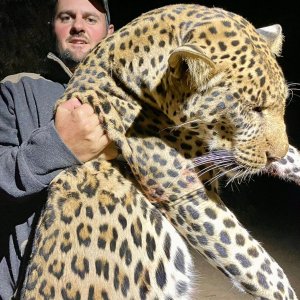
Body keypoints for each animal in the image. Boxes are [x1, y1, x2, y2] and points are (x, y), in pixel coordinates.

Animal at [15, 2, 298, 300]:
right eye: (254, 109)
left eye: (282, 103)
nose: (275, 154)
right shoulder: (187, 193)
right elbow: (258, 264)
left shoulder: (217, 156)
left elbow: (286, 154)